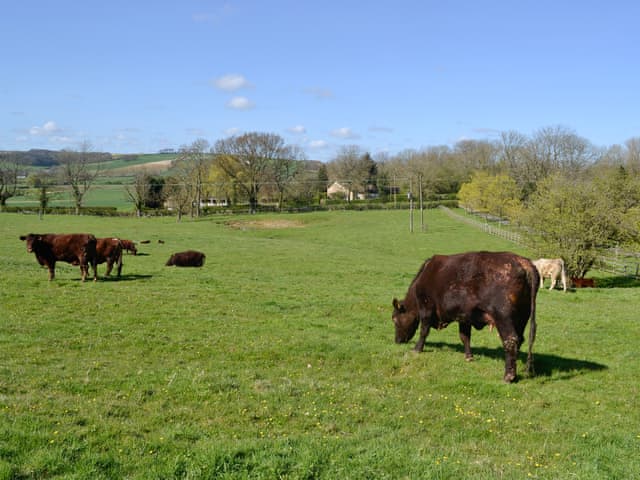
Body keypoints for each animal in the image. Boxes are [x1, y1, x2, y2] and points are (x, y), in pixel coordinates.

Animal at [392, 251, 536, 382]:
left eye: (394, 320)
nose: (397, 341)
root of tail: (523, 261)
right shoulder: (464, 316)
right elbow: (465, 337)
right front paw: (469, 356)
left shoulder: (426, 307)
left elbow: (424, 331)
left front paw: (417, 349)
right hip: (522, 318)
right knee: (519, 340)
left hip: (503, 316)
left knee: (510, 340)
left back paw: (509, 376)